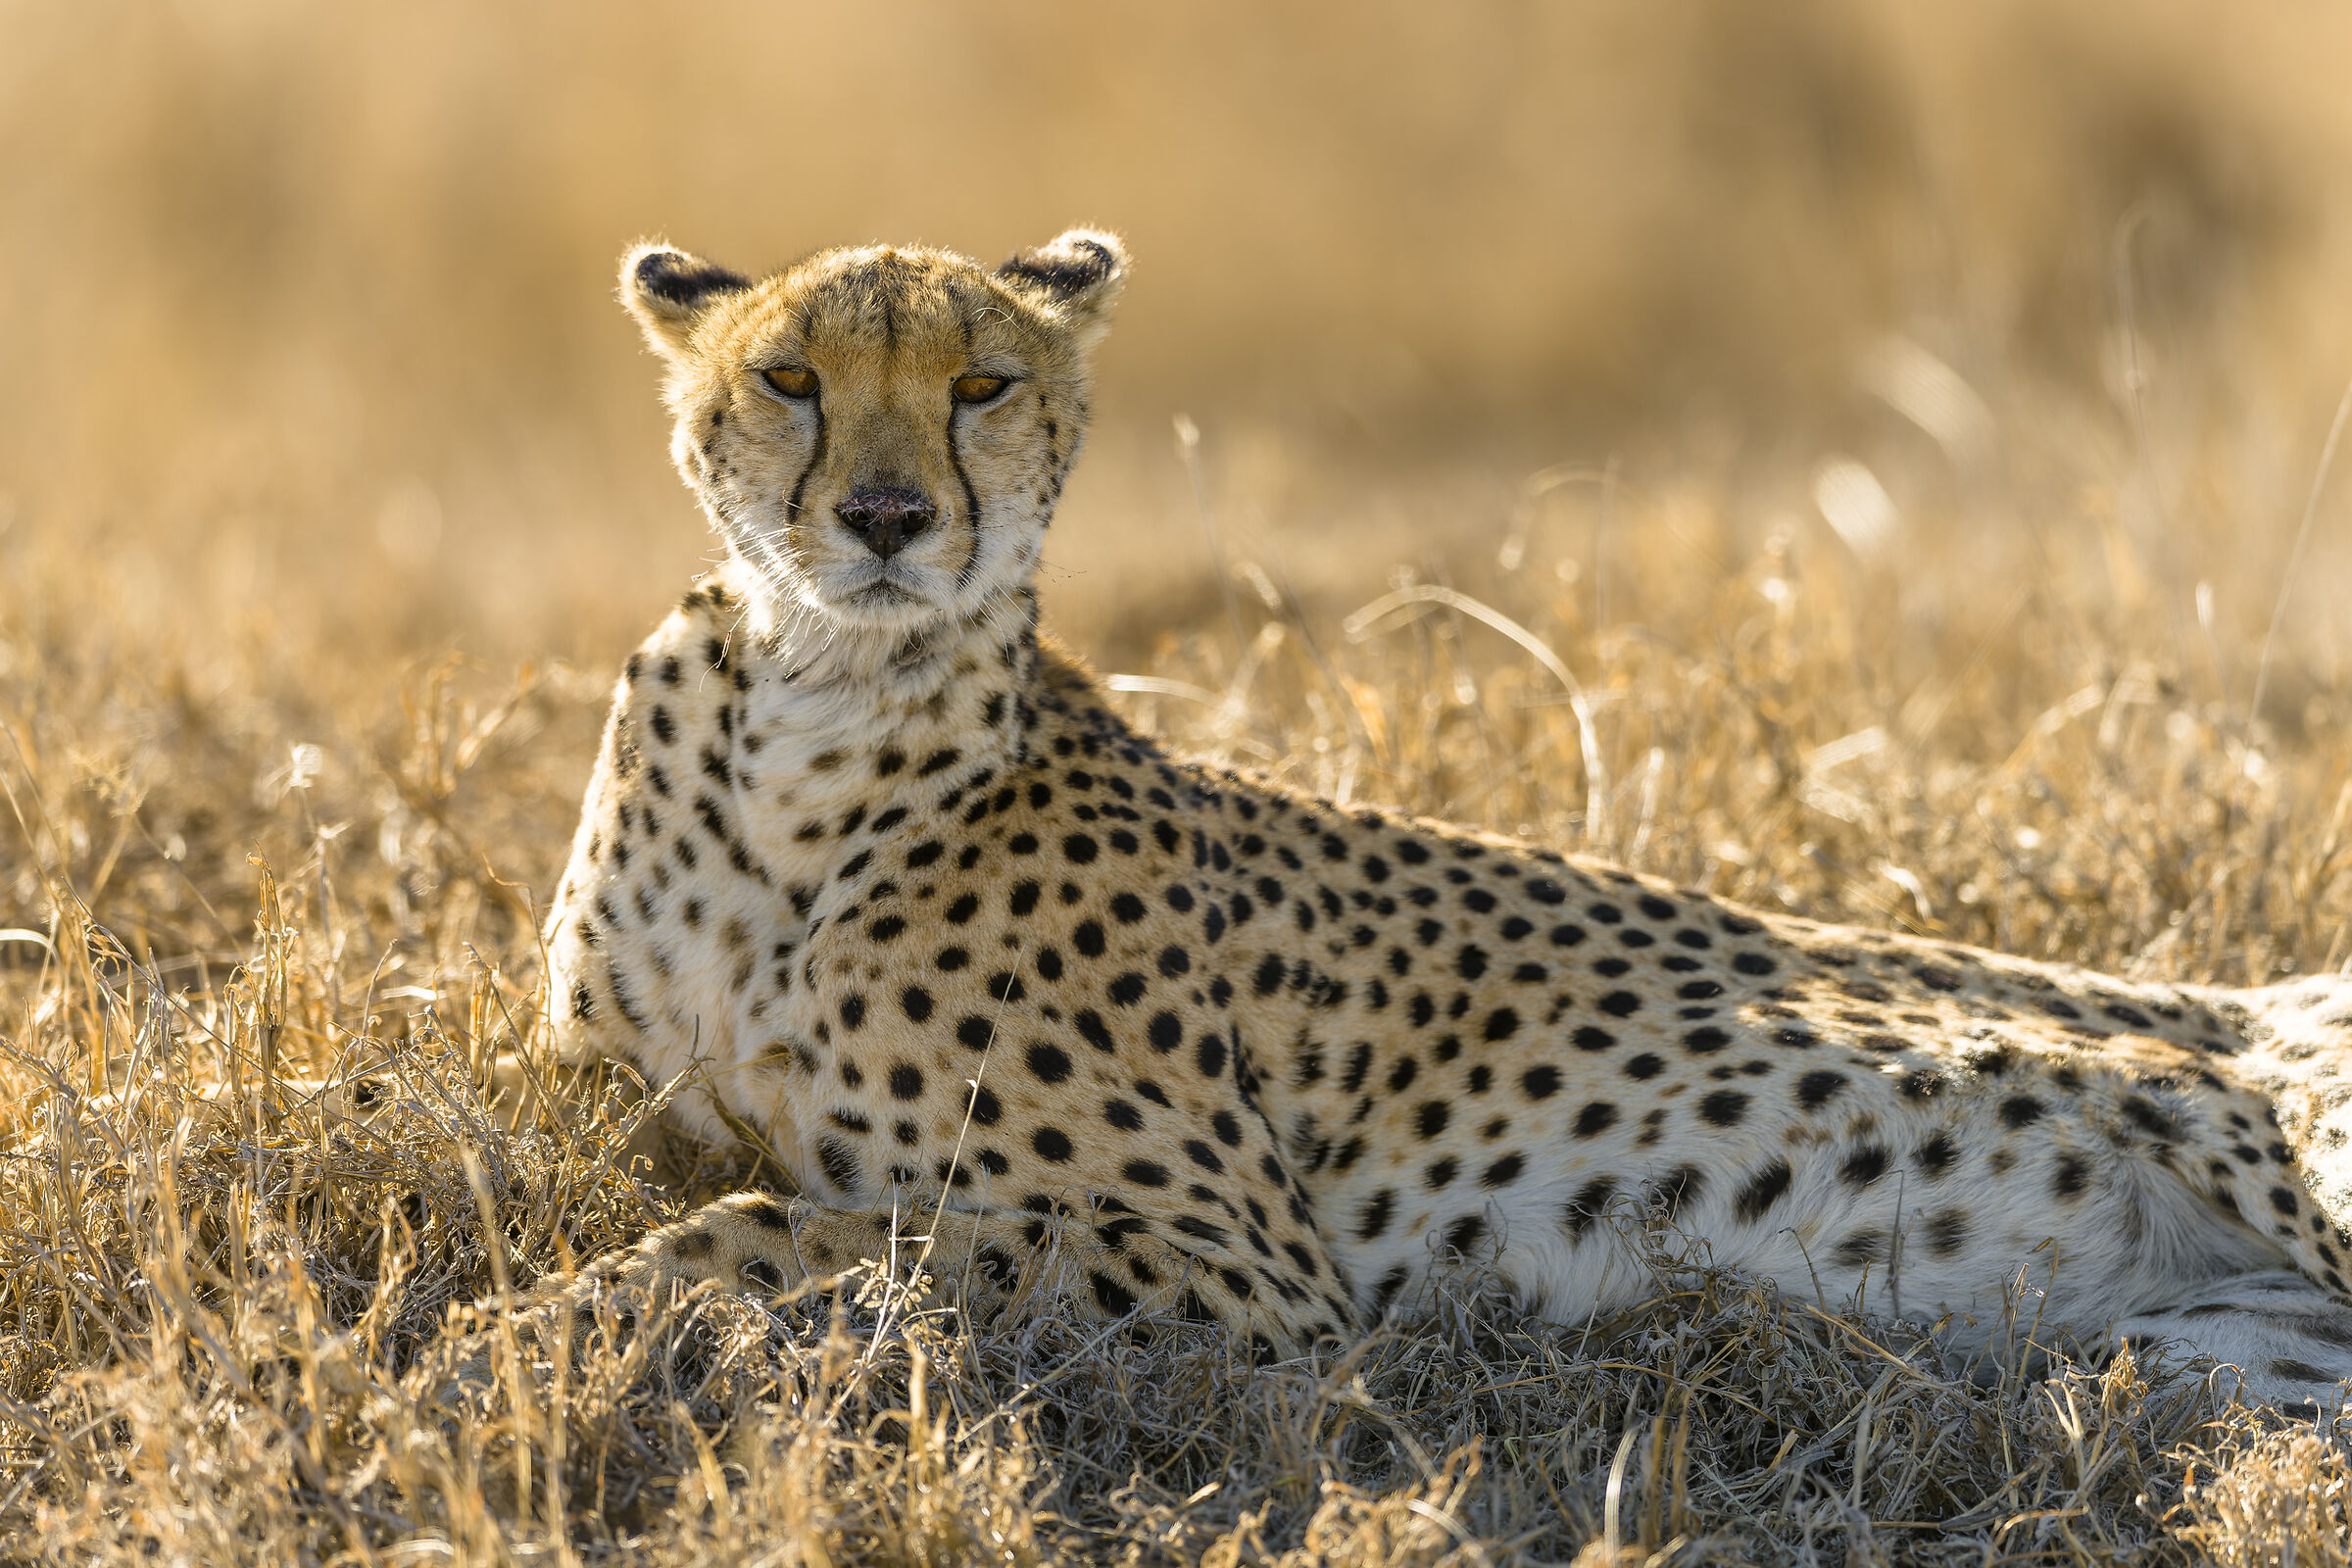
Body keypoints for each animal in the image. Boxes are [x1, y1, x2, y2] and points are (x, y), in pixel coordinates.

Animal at [537, 225, 2352, 1408]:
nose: (887, 516)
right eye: (788, 377)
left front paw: (578, 1321)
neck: (818, 706)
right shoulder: (608, 1102)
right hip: (2213, 1359)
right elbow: (717, 1191)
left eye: (980, 383)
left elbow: (799, 1226)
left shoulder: (1252, 1269)